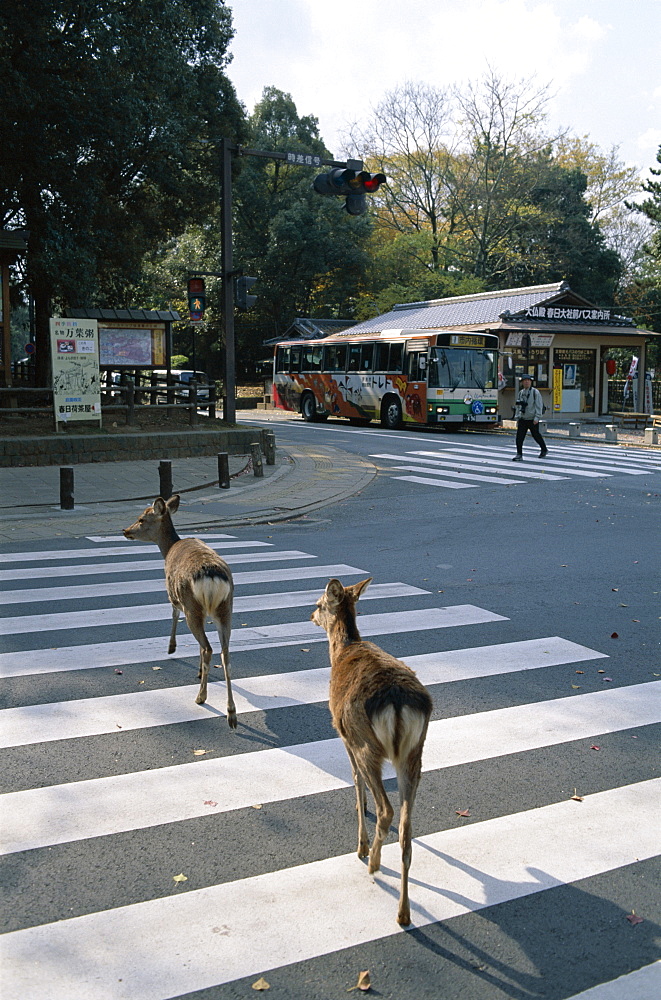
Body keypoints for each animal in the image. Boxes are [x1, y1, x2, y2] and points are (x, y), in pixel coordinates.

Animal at [122, 492, 236, 728]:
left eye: (141, 519)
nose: (125, 530)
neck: (168, 548)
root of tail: (212, 576)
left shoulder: (172, 595)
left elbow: (173, 615)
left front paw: (171, 648)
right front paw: (198, 671)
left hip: (192, 606)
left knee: (207, 648)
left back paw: (201, 697)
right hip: (226, 608)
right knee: (225, 654)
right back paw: (231, 713)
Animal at [310, 580, 434, 928]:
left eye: (320, 603)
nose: (310, 614)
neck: (344, 649)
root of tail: (397, 702)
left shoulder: (344, 735)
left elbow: (354, 779)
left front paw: (361, 843)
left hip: (367, 745)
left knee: (386, 809)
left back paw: (373, 862)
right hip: (414, 753)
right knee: (407, 829)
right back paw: (404, 912)